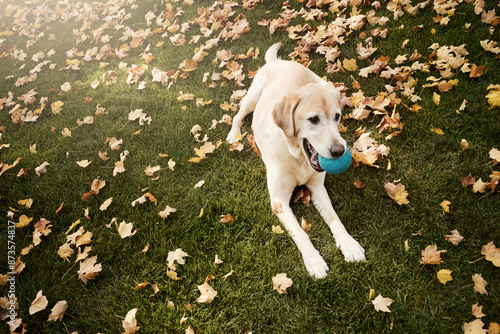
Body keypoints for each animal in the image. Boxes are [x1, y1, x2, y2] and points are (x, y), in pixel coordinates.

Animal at [226, 43, 364, 278]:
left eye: (337, 117)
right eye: (313, 119)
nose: (339, 151)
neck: (298, 158)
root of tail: (278, 62)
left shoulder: (318, 188)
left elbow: (335, 219)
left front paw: (349, 244)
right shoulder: (279, 201)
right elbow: (301, 233)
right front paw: (314, 261)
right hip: (252, 97)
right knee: (237, 115)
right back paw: (233, 134)